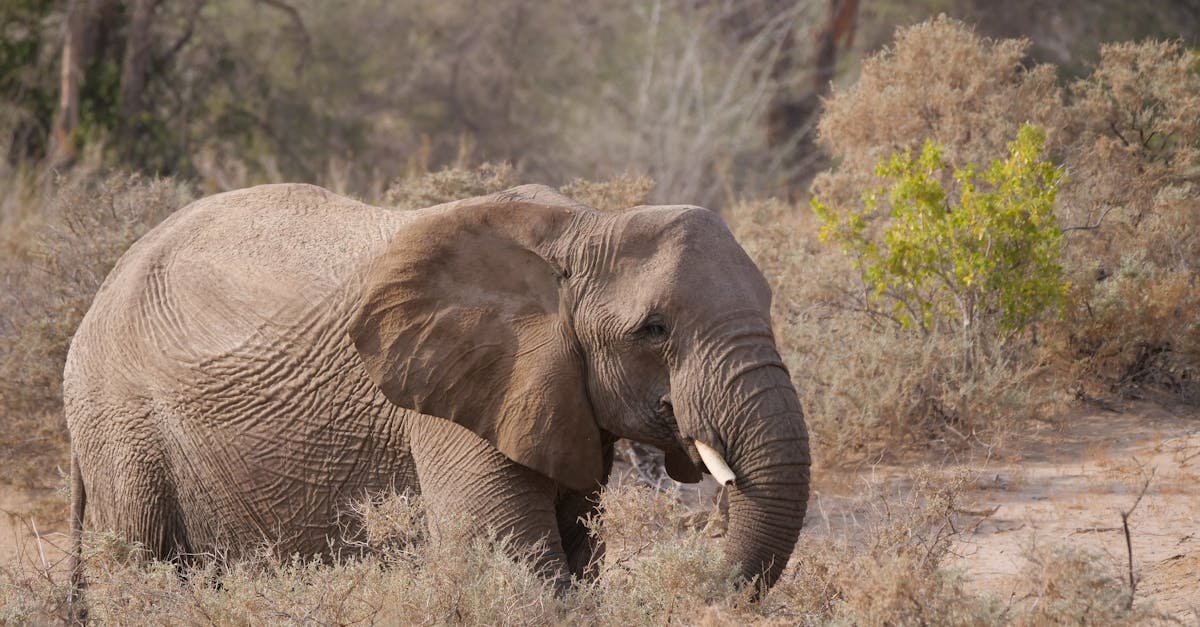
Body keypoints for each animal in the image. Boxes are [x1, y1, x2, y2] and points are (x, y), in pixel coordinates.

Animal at [63, 182, 811, 593]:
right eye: (653, 330)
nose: (701, 575)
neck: (583, 224)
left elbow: (577, 555)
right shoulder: (452, 395)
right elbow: (512, 562)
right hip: (122, 423)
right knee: (146, 562)